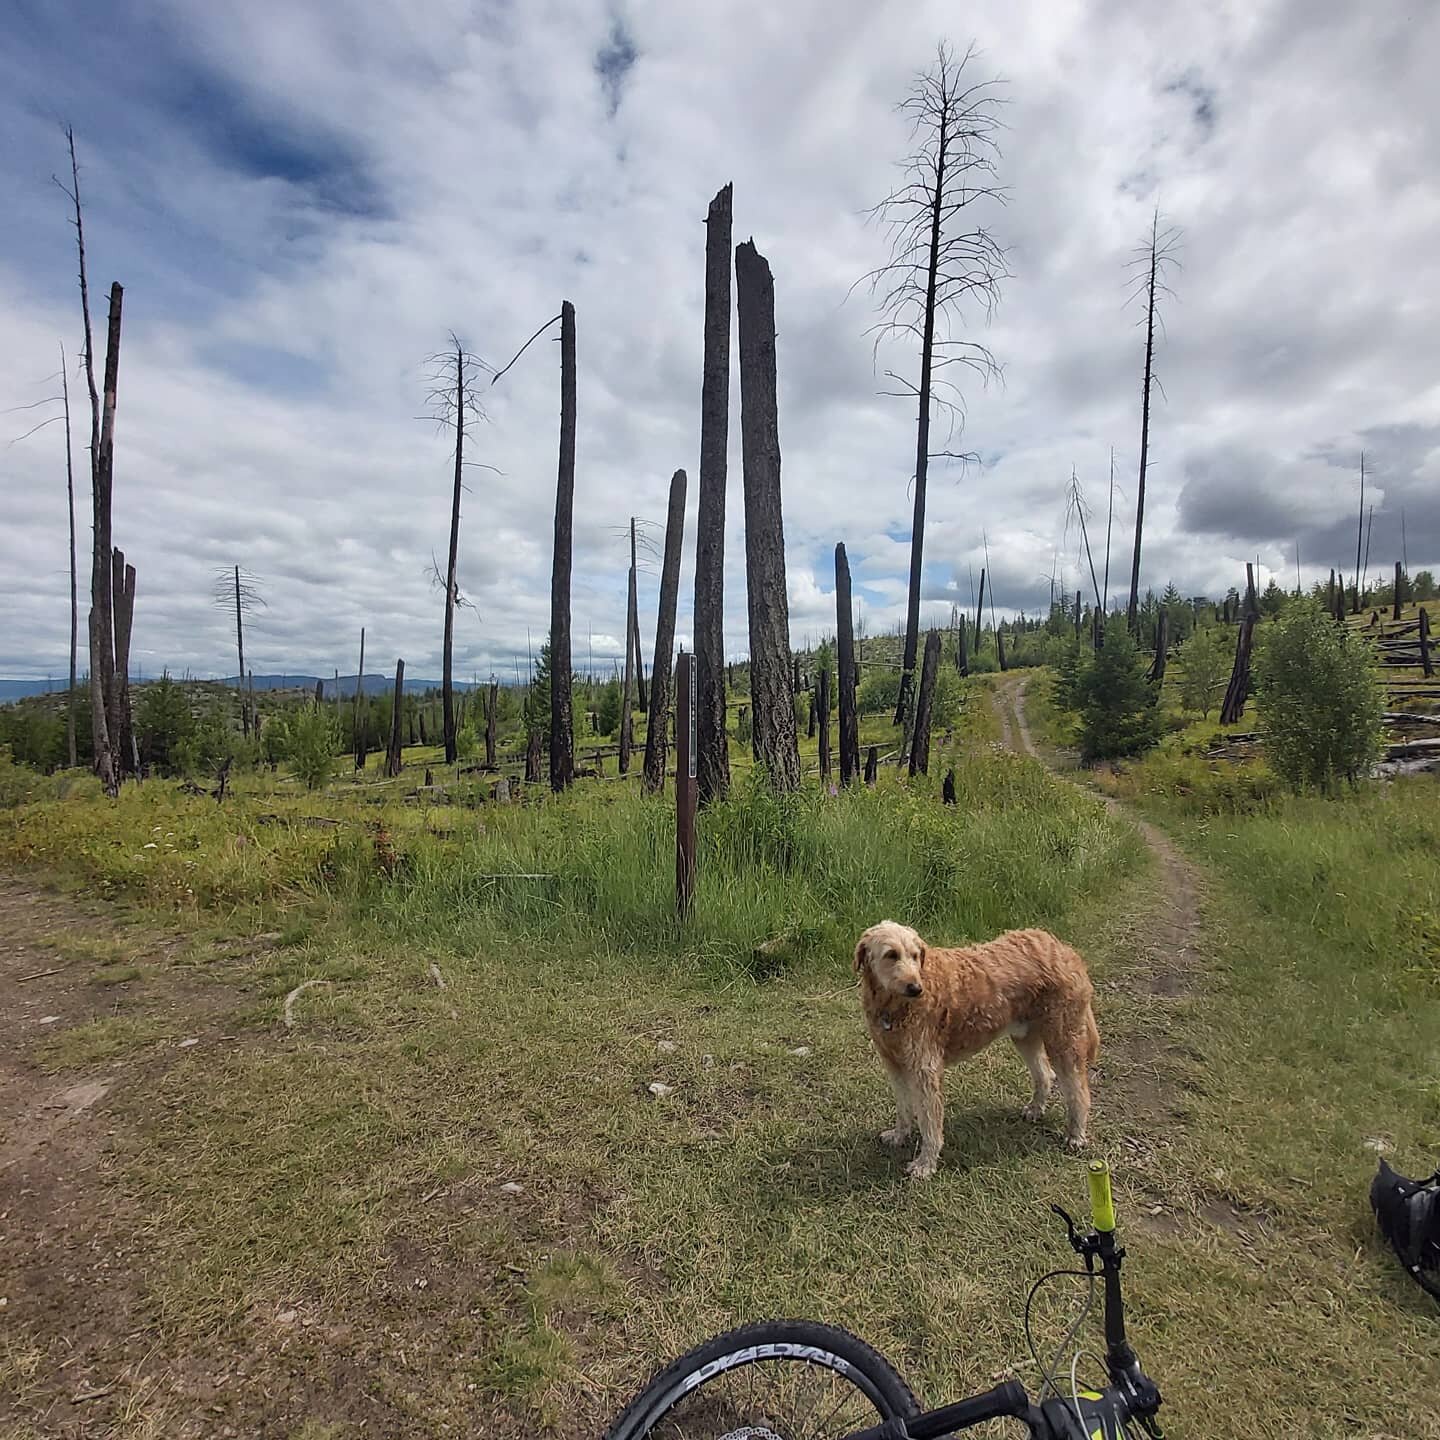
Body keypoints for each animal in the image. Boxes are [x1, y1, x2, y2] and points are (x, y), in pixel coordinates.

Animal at [852, 921, 1100, 1180]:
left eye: (915, 955)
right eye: (891, 954)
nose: (915, 988)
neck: (894, 1008)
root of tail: (1064, 949)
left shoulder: (924, 1070)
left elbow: (930, 1123)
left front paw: (925, 1164)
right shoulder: (895, 1064)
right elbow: (903, 1106)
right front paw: (900, 1135)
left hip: (1064, 1040)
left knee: (1078, 1090)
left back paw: (1076, 1134)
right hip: (1025, 1036)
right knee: (1044, 1074)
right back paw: (1035, 1109)